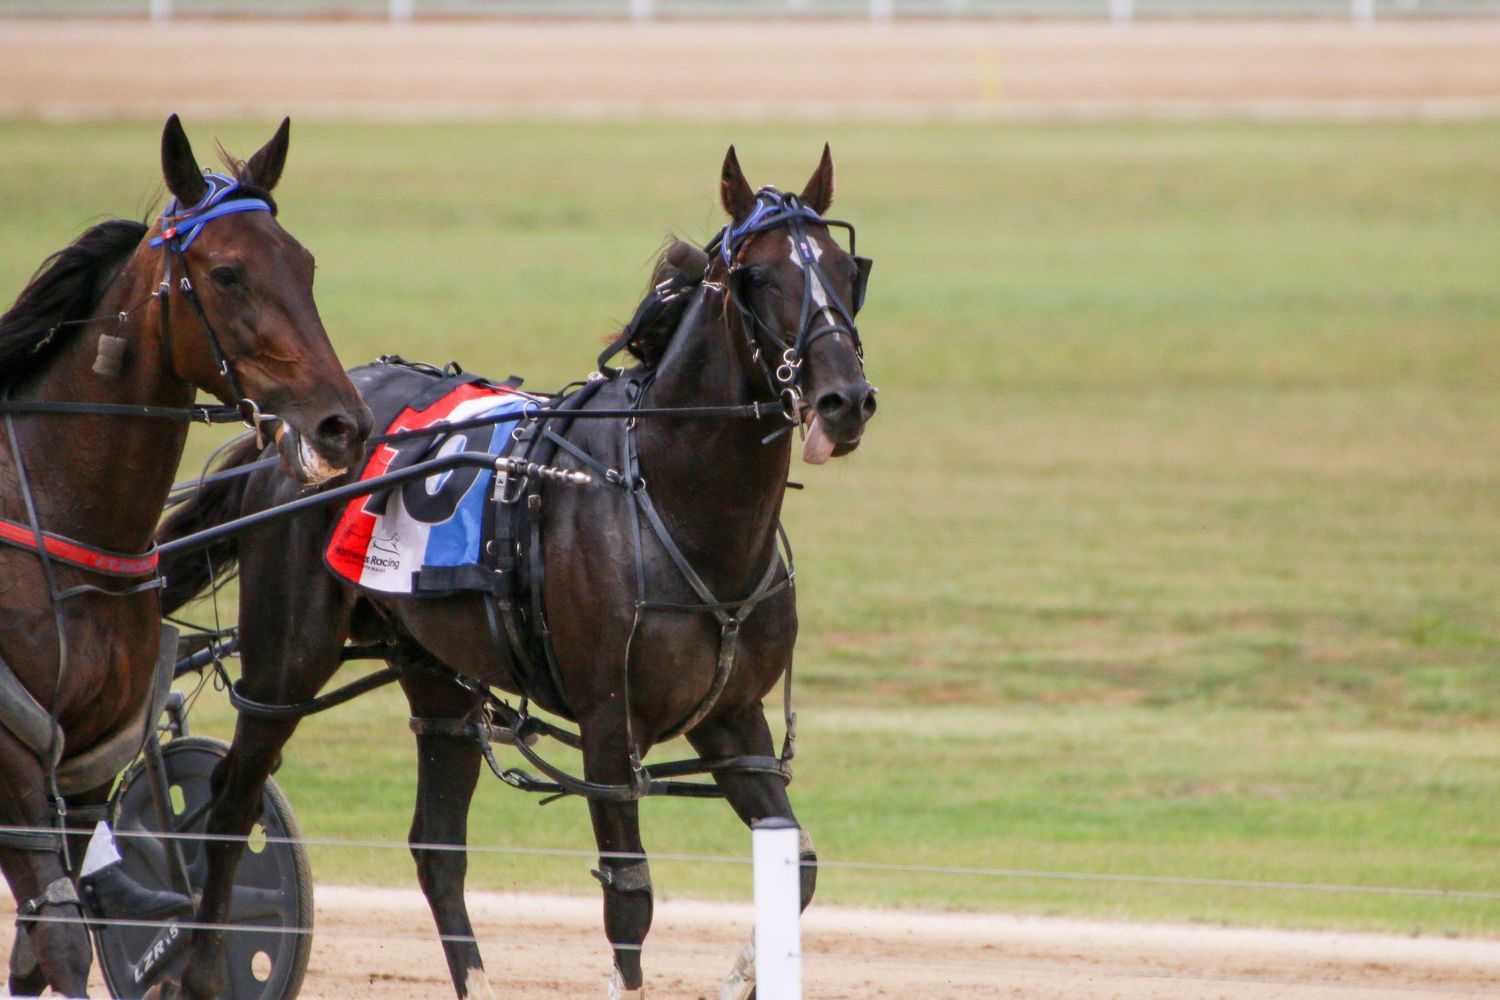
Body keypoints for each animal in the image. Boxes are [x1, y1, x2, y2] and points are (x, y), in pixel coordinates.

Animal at [0, 115, 371, 998]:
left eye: (305, 264)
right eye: (228, 273)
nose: (343, 425)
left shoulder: (89, 762)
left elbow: (35, 948)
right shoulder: (16, 753)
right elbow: (60, 939)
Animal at [153, 145, 875, 1000]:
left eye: (846, 268)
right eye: (759, 277)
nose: (844, 400)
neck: (672, 504)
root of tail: (287, 433)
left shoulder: (733, 720)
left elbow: (797, 864)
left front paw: (739, 976)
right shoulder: (609, 730)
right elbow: (630, 898)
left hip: (435, 672)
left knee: (436, 845)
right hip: (284, 662)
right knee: (233, 802)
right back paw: (200, 966)